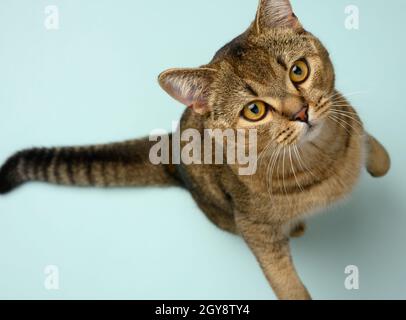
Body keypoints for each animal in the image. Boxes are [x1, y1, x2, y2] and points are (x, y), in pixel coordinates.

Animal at [0, 0, 394, 300]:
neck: (323, 160)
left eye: (299, 71)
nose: (301, 112)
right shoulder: (255, 228)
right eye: (255, 110)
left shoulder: (344, 109)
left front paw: (379, 161)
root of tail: (173, 148)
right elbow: (284, 281)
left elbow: (368, 143)